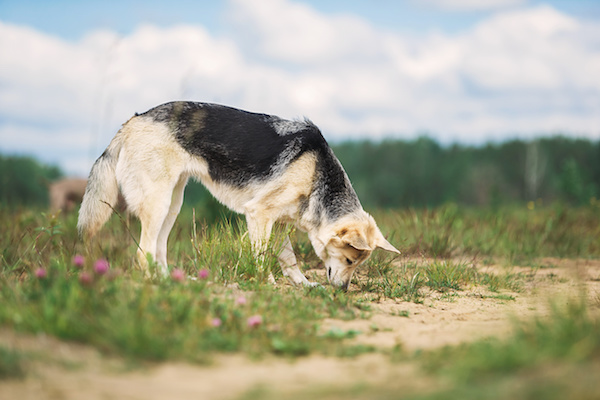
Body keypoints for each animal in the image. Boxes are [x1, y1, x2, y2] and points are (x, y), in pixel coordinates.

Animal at [78, 102, 398, 290]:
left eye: (357, 264)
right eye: (349, 260)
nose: (342, 292)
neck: (317, 174)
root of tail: (132, 121)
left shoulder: (278, 224)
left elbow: (289, 261)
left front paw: (303, 285)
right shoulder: (259, 215)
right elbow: (262, 258)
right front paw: (266, 285)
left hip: (172, 206)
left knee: (157, 251)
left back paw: (174, 282)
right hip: (158, 204)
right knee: (143, 254)